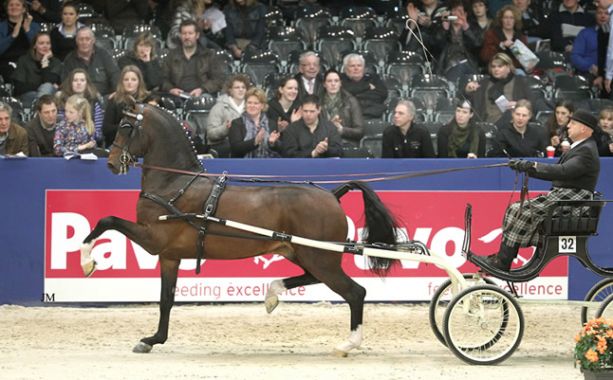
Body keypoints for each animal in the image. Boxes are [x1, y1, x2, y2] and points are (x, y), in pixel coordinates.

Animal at [80, 102, 396, 354]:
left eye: (125, 126)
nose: (111, 163)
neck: (175, 185)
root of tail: (332, 194)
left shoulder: (152, 238)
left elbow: (107, 221)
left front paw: (87, 261)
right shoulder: (170, 255)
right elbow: (165, 300)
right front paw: (153, 339)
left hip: (320, 258)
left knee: (355, 293)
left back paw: (349, 343)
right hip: (303, 253)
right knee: (313, 278)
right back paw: (272, 294)